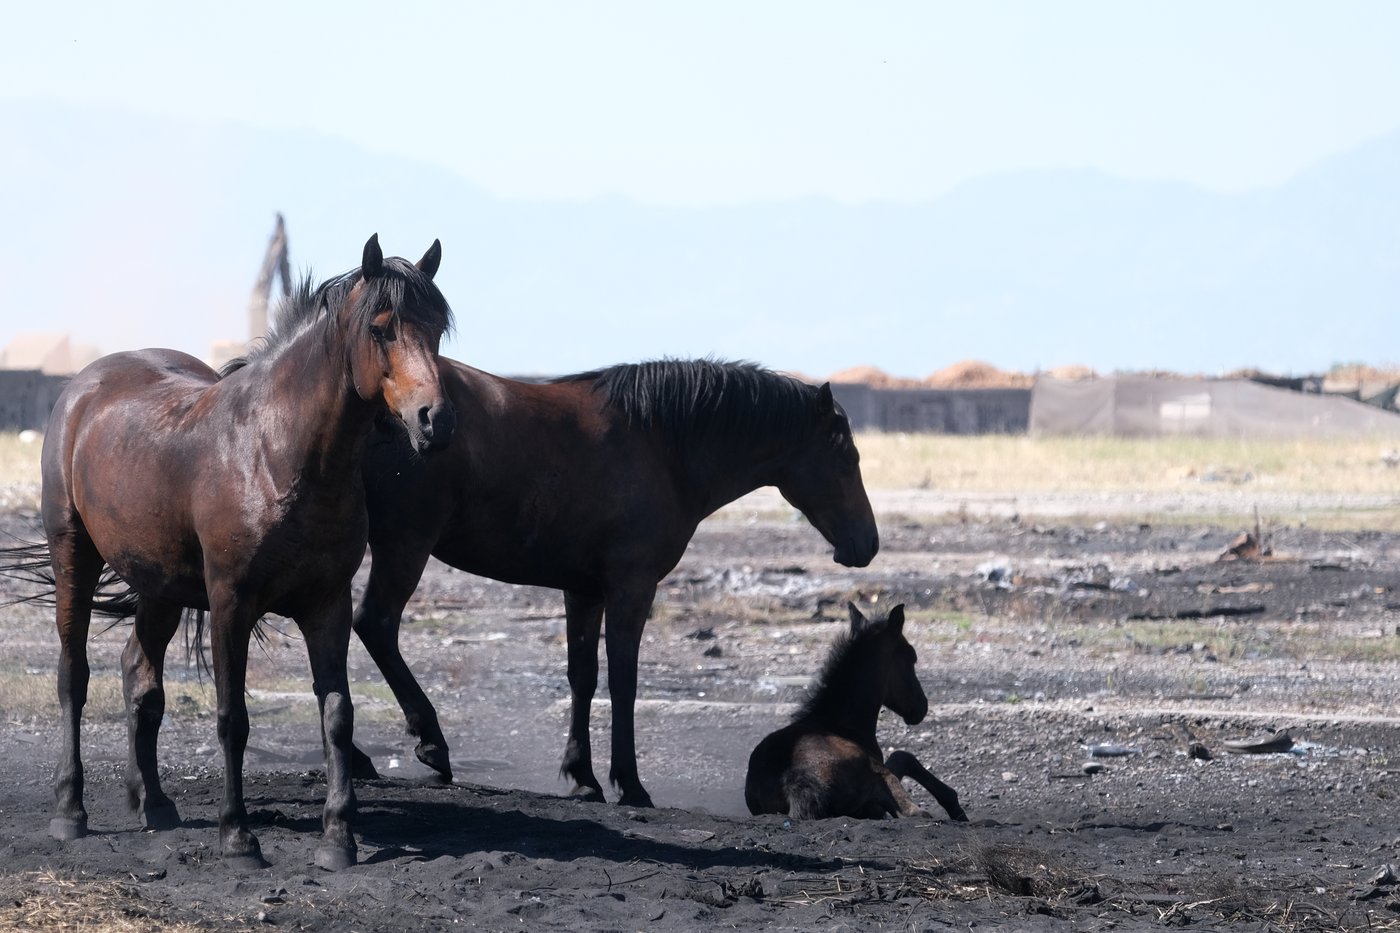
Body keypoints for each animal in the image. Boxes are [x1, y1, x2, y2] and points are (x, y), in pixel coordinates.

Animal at [34, 235, 453, 870]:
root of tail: (85, 385)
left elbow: (337, 715)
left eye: (436, 330)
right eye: (381, 329)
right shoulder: (230, 603)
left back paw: (153, 803)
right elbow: (233, 717)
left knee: (140, 676)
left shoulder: (327, 605)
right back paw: (69, 811)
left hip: (160, 585)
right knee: (72, 676)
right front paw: (238, 835)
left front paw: (338, 838)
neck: (277, 453)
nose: (434, 420)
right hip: (73, 556)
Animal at [351, 357, 879, 807]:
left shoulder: (583, 592)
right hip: (405, 545)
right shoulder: (632, 588)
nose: (868, 544)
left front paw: (583, 776)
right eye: (847, 455)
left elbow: (582, 678)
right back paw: (429, 744)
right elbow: (623, 680)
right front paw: (629, 783)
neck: (660, 446)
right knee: (375, 625)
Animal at [744, 603, 967, 822]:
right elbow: (904, 756)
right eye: (912, 657)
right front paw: (955, 807)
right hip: (876, 777)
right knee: (912, 812)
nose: (921, 707)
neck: (842, 723)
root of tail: (794, 783)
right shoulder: (880, 776)